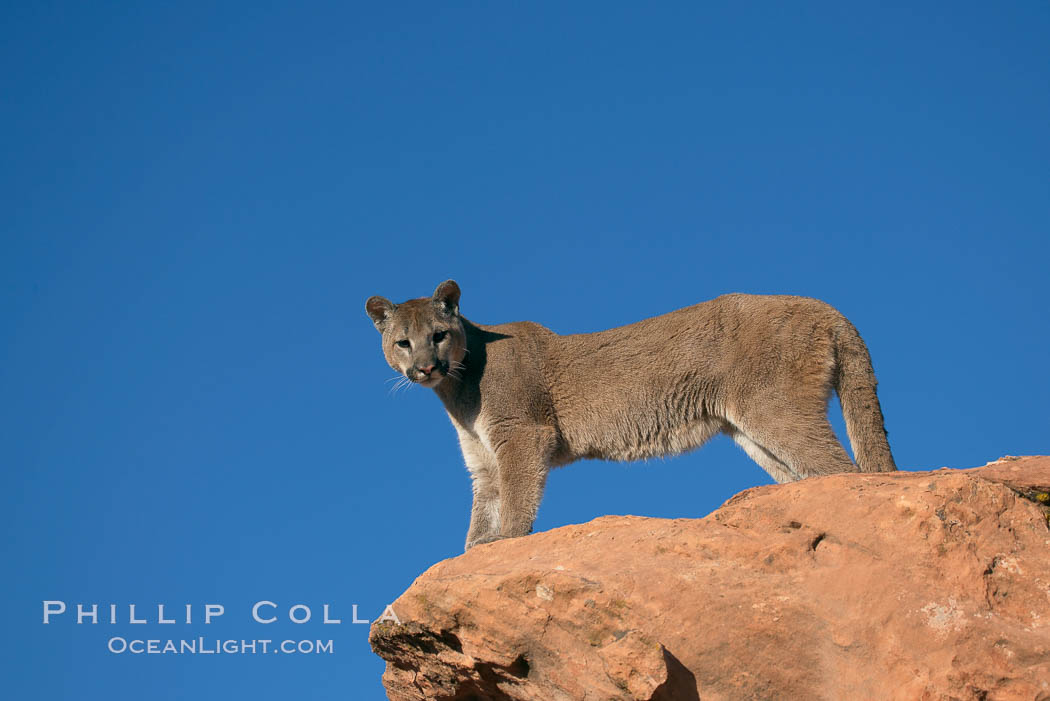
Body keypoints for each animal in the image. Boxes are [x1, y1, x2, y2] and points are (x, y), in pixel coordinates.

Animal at [367, 277, 894, 545]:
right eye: (402, 342)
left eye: (438, 335)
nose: (425, 367)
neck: (458, 388)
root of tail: (829, 308)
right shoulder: (482, 458)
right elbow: (483, 509)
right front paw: (473, 551)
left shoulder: (523, 434)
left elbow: (516, 499)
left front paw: (507, 541)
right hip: (752, 430)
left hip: (773, 407)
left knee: (845, 471)